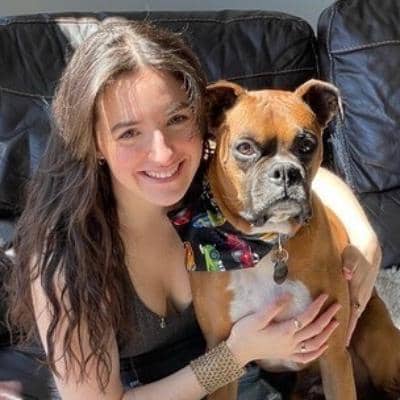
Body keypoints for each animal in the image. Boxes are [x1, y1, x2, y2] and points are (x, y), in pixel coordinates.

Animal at [173, 79, 400, 399]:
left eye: (306, 145)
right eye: (245, 147)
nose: (285, 172)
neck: (266, 244)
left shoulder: (333, 355)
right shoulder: (224, 359)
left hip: (372, 336)